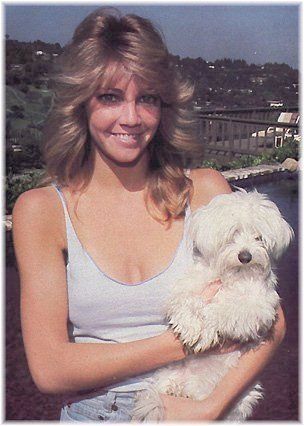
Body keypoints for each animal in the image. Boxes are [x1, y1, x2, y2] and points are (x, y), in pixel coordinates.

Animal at [132, 190, 294, 422]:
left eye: (258, 237)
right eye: (232, 234)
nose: (245, 256)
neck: (233, 275)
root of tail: (193, 388)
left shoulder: (259, 307)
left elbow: (226, 311)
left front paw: (208, 328)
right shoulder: (189, 287)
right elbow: (187, 303)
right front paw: (193, 328)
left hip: (242, 400)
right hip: (168, 373)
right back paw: (172, 390)